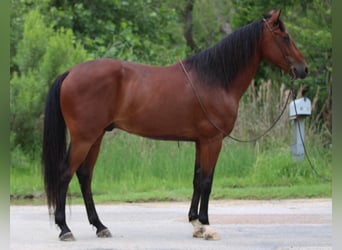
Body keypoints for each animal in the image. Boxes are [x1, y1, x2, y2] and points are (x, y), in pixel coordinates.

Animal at [42, 9, 308, 240]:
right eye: (285, 37)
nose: (303, 69)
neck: (214, 79)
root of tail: (70, 72)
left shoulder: (201, 142)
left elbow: (197, 179)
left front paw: (195, 223)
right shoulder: (213, 141)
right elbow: (207, 182)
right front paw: (206, 225)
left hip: (96, 137)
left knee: (85, 175)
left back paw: (100, 226)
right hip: (84, 138)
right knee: (65, 174)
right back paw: (65, 229)